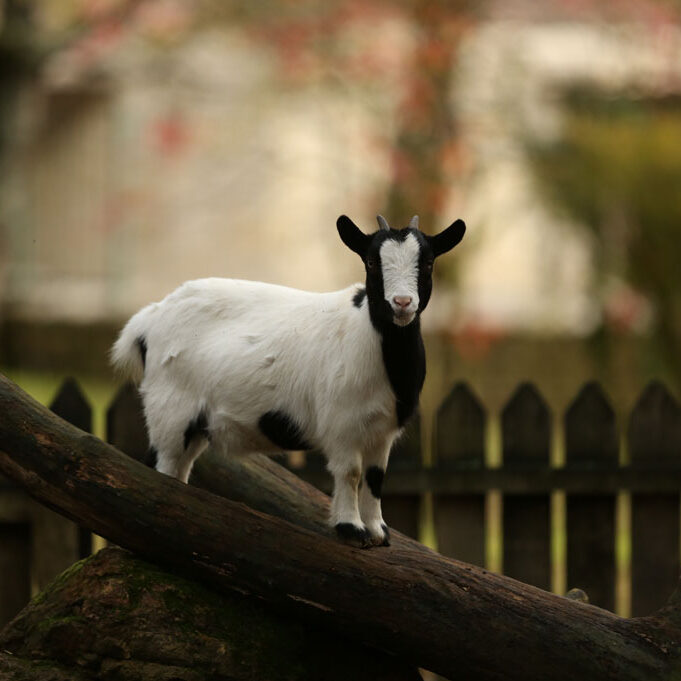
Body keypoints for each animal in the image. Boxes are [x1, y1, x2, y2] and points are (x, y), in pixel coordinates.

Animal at [111, 212, 464, 548]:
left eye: (428, 261)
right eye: (371, 261)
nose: (402, 303)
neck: (369, 337)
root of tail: (149, 319)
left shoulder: (382, 431)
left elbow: (376, 477)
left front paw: (378, 532)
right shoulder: (342, 425)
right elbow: (350, 473)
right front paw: (352, 530)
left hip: (194, 424)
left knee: (178, 469)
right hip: (170, 409)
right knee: (161, 465)